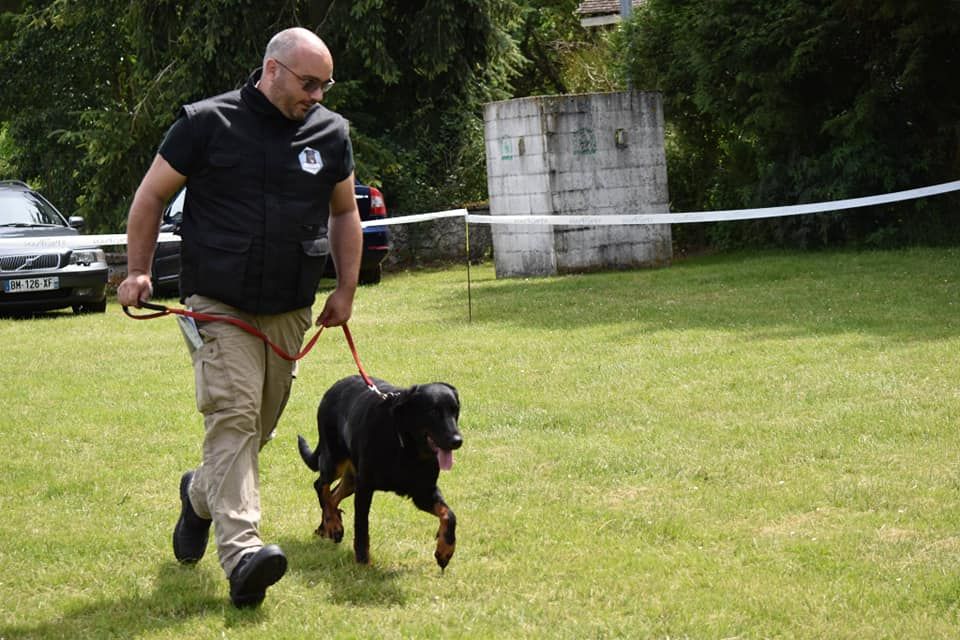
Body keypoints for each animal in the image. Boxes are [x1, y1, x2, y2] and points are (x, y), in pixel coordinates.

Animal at [297, 375, 463, 568]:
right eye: (433, 411)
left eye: (455, 410)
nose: (457, 440)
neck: (406, 446)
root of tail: (334, 387)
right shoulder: (365, 487)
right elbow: (362, 527)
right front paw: (363, 562)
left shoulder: (423, 492)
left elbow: (449, 515)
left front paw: (445, 550)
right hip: (334, 458)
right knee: (321, 485)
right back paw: (333, 524)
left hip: (352, 476)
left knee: (333, 493)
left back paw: (327, 526)